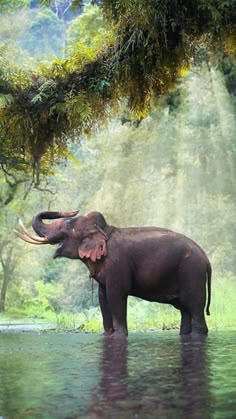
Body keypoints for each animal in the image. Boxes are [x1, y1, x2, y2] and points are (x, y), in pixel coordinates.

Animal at [13, 210, 211, 338]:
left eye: (67, 226)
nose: (71, 210)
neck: (105, 231)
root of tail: (207, 260)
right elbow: (103, 297)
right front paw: (106, 335)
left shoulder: (117, 264)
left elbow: (116, 294)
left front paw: (119, 336)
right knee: (185, 310)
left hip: (192, 273)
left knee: (195, 308)